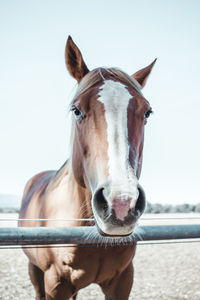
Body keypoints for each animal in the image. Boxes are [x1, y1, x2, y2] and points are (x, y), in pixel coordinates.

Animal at [18, 35, 155, 300]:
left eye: (147, 112)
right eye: (76, 110)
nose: (120, 204)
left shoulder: (122, 281)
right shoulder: (56, 284)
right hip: (34, 270)